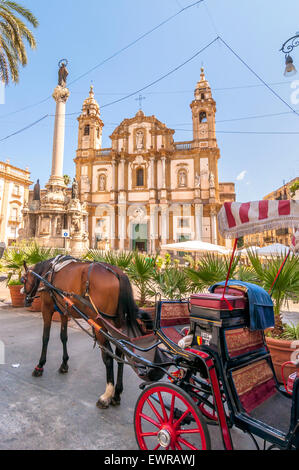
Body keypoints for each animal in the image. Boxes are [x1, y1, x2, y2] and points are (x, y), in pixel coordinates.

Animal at [21, 258, 152, 408]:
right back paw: (117, 394)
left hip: (100, 323)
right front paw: (64, 364)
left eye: (23, 279)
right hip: (118, 324)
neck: (47, 272)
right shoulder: (64, 310)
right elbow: (63, 337)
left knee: (108, 356)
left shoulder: (47, 308)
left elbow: (45, 337)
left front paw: (40, 366)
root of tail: (118, 273)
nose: (24, 297)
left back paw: (106, 395)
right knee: (120, 353)